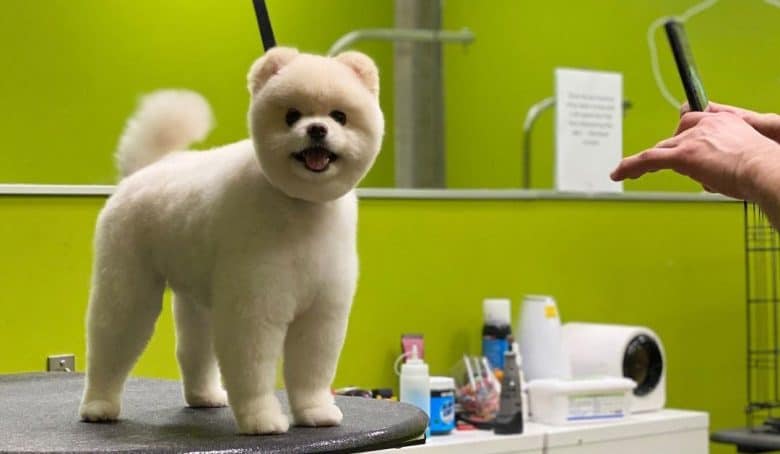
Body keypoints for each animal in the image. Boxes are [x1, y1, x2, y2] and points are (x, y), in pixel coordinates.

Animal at [78, 48, 384, 434]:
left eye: (339, 116)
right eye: (291, 116)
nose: (316, 129)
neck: (300, 208)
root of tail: (146, 169)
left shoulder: (321, 312)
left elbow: (312, 371)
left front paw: (315, 411)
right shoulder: (254, 307)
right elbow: (252, 370)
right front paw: (261, 418)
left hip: (198, 297)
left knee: (192, 349)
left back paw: (204, 396)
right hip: (129, 285)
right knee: (111, 341)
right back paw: (98, 405)